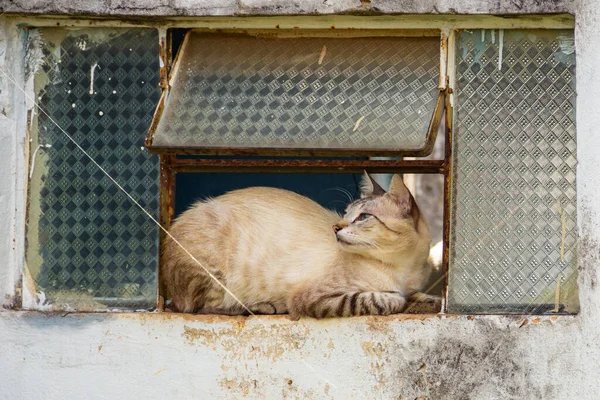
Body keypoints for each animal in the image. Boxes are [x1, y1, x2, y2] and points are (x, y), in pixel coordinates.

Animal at [162, 172, 438, 318]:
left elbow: (419, 295)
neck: (405, 270)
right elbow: (379, 299)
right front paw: (397, 299)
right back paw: (266, 306)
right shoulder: (315, 297)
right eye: (346, 213)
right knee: (202, 308)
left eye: (362, 217)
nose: (335, 228)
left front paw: (429, 299)